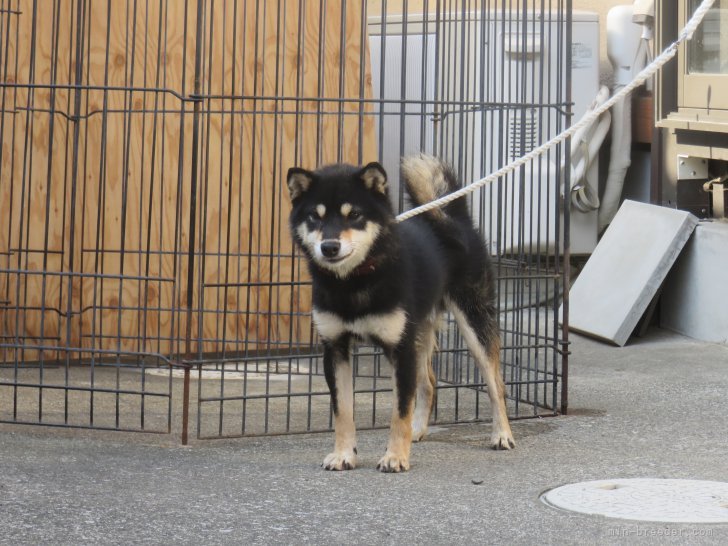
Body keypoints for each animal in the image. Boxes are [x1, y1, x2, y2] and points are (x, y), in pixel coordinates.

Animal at [284, 154, 512, 472]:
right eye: (315, 217)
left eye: (354, 214)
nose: (329, 247)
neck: (355, 281)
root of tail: (453, 217)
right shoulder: (335, 348)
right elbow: (343, 411)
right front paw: (344, 454)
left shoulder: (400, 349)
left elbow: (399, 410)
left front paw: (395, 456)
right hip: (420, 330)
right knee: (429, 382)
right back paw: (418, 430)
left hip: (473, 321)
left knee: (495, 384)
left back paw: (502, 434)